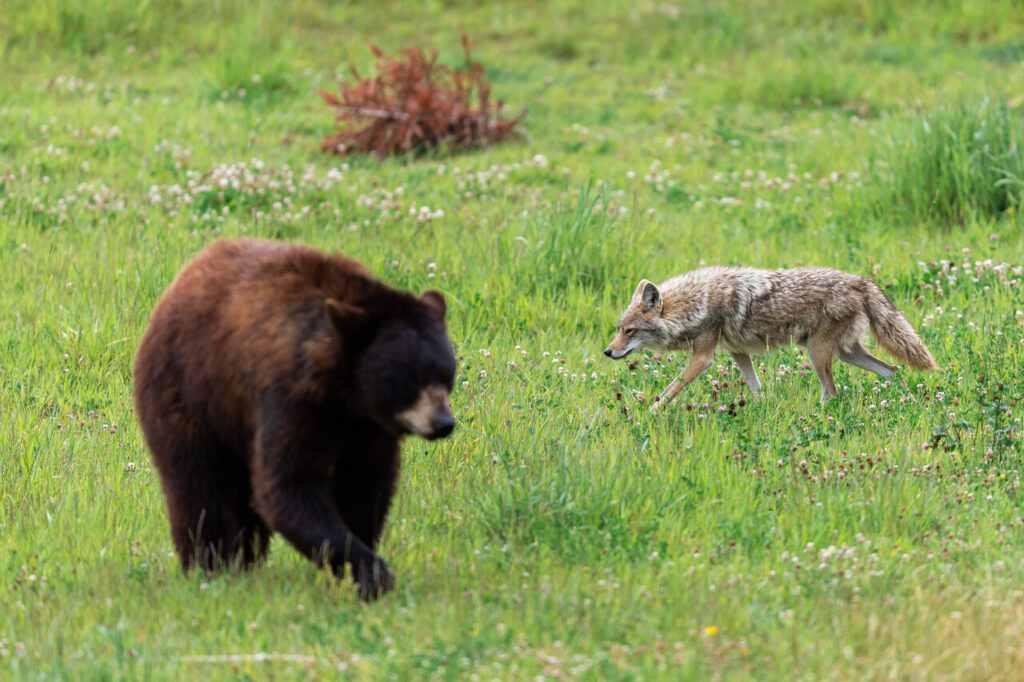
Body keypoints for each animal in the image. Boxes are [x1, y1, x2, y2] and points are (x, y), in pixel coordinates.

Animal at [133, 238, 456, 600]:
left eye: (446, 373)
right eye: (414, 378)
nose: (443, 423)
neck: (345, 391)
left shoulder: (369, 428)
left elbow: (364, 483)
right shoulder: (293, 399)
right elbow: (289, 484)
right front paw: (371, 572)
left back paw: (245, 561)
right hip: (190, 396)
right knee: (198, 484)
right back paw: (210, 566)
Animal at [603, 267, 938, 409]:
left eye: (630, 331)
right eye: (619, 329)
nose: (607, 352)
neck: (695, 303)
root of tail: (861, 280)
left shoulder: (703, 358)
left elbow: (668, 392)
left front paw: (648, 415)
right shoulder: (738, 353)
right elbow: (757, 390)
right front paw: (763, 411)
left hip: (818, 354)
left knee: (832, 392)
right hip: (845, 353)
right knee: (892, 370)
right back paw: (910, 400)